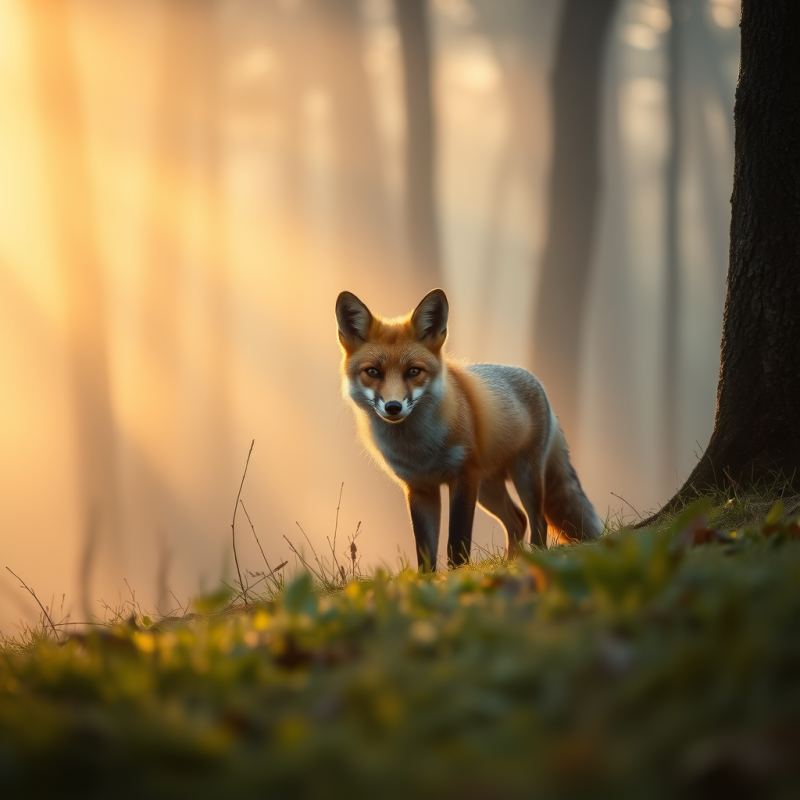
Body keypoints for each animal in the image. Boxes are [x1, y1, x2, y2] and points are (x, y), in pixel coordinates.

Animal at [335, 288, 603, 570]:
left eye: (414, 371)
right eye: (373, 372)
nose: (393, 407)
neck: (418, 449)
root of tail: (537, 381)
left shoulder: (463, 478)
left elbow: (457, 540)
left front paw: (458, 573)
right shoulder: (420, 487)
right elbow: (425, 550)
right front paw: (429, 579)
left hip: (523, 476)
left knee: (537, 521)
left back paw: (534, 559)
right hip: (488, 489)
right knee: (517, 520)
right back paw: (509, 562)